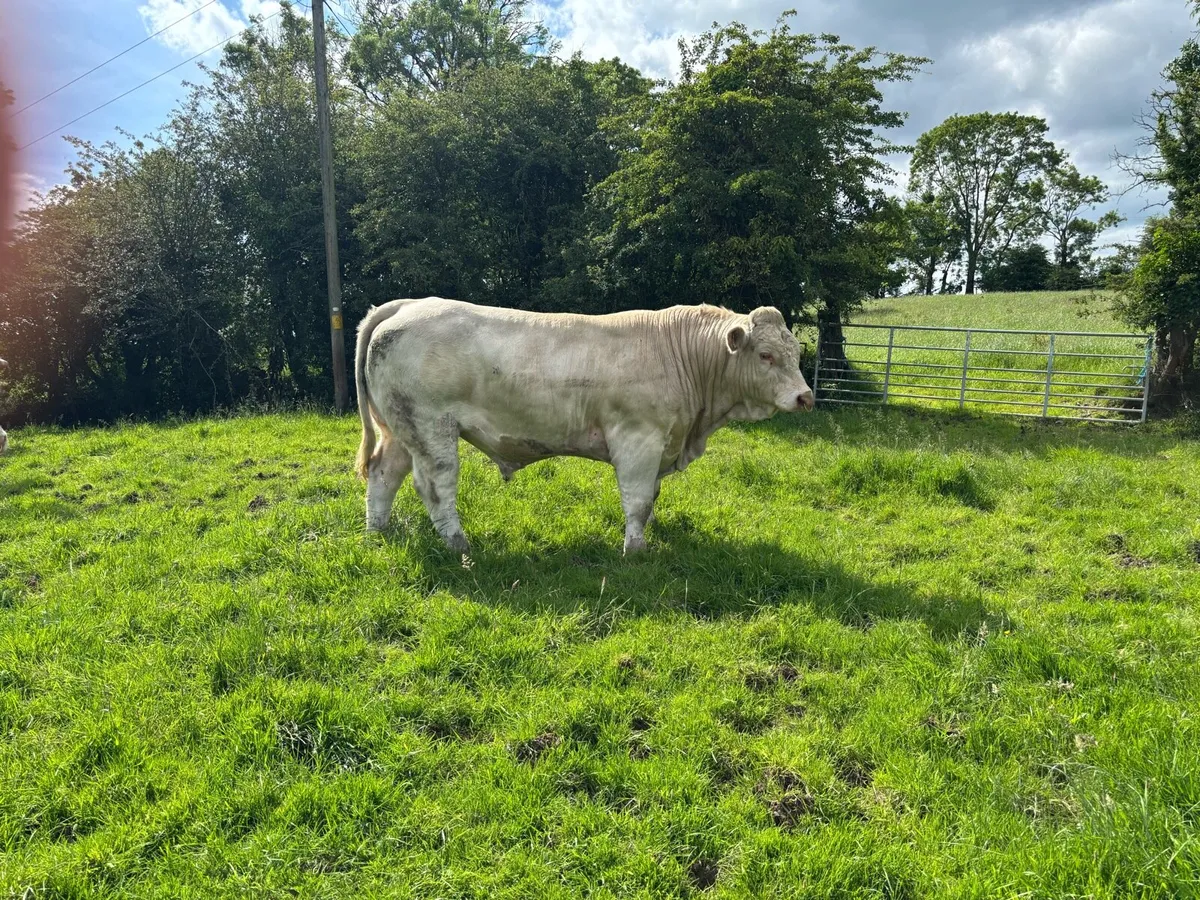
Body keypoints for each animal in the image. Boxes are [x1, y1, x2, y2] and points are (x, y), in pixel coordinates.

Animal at [354, 298, 814, 555]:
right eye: (766, 355)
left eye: (796, 350)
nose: (805, 397)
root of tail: (405, 305)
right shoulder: (638, 439)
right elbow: (638, 500)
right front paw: (636, 549)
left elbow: (652, 497)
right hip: (431, 428)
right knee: (436, 486)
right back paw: (458, 545)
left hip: (400, 428)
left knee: (383, 473)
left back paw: (378, 531)